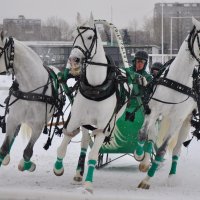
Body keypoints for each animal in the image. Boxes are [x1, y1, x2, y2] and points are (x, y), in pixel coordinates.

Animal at [137, 17, 200, 189]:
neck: (178, 81)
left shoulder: (178, 119)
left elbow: (162, 150)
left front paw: (147, 179)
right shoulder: (153, 110)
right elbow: (143, 135)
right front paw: (141, 157)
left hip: (185, 122)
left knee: (177, 149)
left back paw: (171, 177)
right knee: (151, 135)